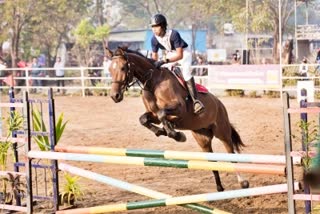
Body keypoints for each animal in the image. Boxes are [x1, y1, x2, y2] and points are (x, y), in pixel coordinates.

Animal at [106, 46, 249, 191]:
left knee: (231, 154)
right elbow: (144, 119)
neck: (153, 83)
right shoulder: (153, 115)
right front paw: (163, 131)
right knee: (212, 160)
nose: (114, 96)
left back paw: (243, 182)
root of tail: (219, 103)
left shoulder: (179, 109)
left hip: (222, 132)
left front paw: (177, 135)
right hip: (202, 138)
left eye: (123, 68)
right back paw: (219, 188)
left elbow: (162, 114)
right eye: (110, 69)